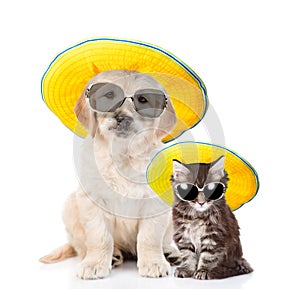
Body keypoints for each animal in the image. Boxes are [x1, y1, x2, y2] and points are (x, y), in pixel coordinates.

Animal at [39, 70, 180, 280]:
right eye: (109, 96)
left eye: (143, 100)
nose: (121, 118)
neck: (122, 155)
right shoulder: (93, 201)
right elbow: (100, 237)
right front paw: (94, 264)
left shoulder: (154, 201)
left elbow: (149, 237)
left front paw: (153, 262)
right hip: (70, 207)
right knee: (80, 247)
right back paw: (112, 256)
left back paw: (170, 252)